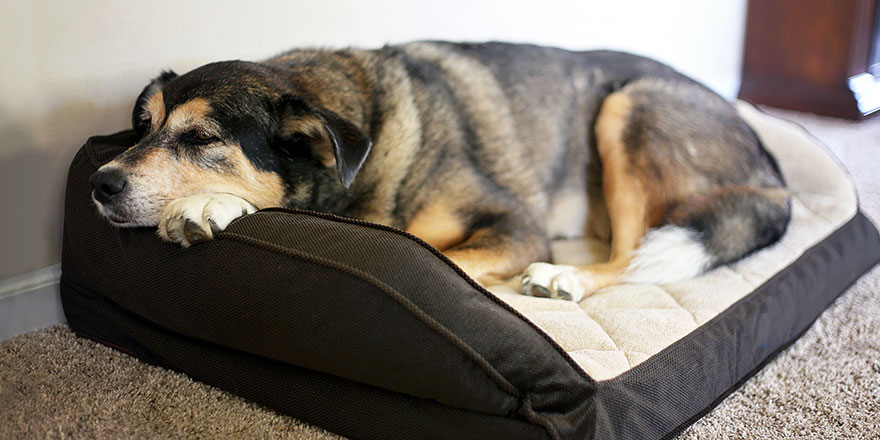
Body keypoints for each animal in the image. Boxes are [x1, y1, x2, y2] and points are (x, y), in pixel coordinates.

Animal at [89, 42, 792, 302]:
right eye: (143, 127)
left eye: (202, 138)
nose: (99, 183)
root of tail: (774, 175)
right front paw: (214, 206)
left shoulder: (514, 223)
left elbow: (437, 256)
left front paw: (209, 205)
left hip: (627, 108)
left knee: (632, 256)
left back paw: (564, 276)